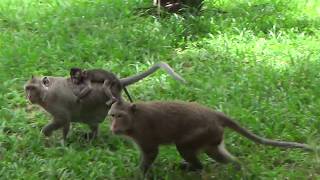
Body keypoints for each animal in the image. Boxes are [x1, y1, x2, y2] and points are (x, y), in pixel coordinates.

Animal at [24, 62, 185, 142]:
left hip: (114, 95)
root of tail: (118, 82)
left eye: (32, 88)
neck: (47, 91)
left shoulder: (55, 102)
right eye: (27, 88)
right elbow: (65, 122)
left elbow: (63, 120)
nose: (29, 96)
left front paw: (50, 135)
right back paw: (92, 137)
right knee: (92, 123)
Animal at [107, 99, 312, 175]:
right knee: (214, 152)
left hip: (201, 131)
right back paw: (238, 168)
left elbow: (151, 153)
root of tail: (215, 114)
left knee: (184, 147)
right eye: (112, 115)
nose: (113, 126)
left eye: (120, 116)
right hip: (212, 135)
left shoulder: (143, 132)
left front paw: (137, 174)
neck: (133, 120)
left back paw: (195, 168)